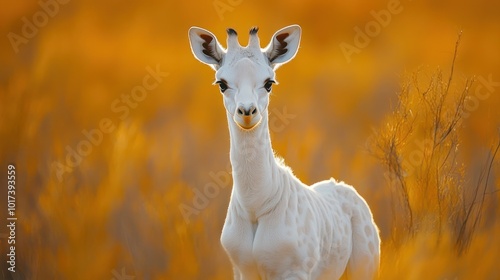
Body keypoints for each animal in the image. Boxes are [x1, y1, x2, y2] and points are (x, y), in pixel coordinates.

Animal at [188, 24, 378, 280]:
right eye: (222, 83)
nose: (247, 112)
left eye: (269, 82)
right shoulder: (243, 271)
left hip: (365, 267)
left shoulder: (294, 271)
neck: (255, 206)